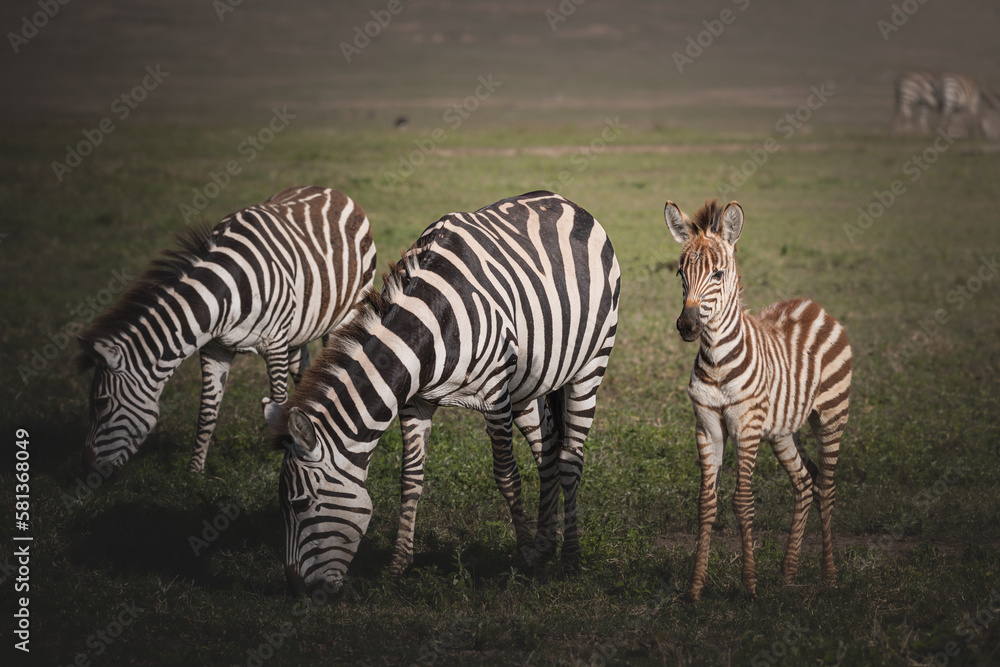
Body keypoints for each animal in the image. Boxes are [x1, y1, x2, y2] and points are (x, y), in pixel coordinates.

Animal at [78, 186, 377, 474]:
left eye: (101, 403)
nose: (88, 467)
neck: (226, 291)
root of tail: (333, 191)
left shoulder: (275, 344)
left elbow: (277, 404)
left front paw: (277, 463)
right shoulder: (215, 348)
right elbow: (207, 411)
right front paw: (194, 471)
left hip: (347, 310)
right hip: (299, 330)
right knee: (304, 374)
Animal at [263, 191, 620, 596]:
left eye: (299, 503)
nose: (296, 590)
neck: (432, 321)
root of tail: (564, 200)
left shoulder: (495, 395)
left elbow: (507, 476)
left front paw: (527, 559)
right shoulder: (415, 401)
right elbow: (410, 477)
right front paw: (398, 564)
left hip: (589, 365)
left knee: (570, 458)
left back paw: (570, 559)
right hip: (526, 382)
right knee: (546, 452)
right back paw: (547, 545)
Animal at [663, 199, 852, 601]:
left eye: (718, 274)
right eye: (680, 273)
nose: (687, 326)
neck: (717, 360)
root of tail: (812, 304)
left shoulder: (746, 427)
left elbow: (742, 502)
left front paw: (749, 586)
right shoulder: (707, 426)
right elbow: (706, 503)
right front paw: (696, 588)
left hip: (831, 415)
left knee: (827, 487)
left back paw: (829, 576)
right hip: (782, 430)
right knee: (805, 482)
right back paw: (788, 572)